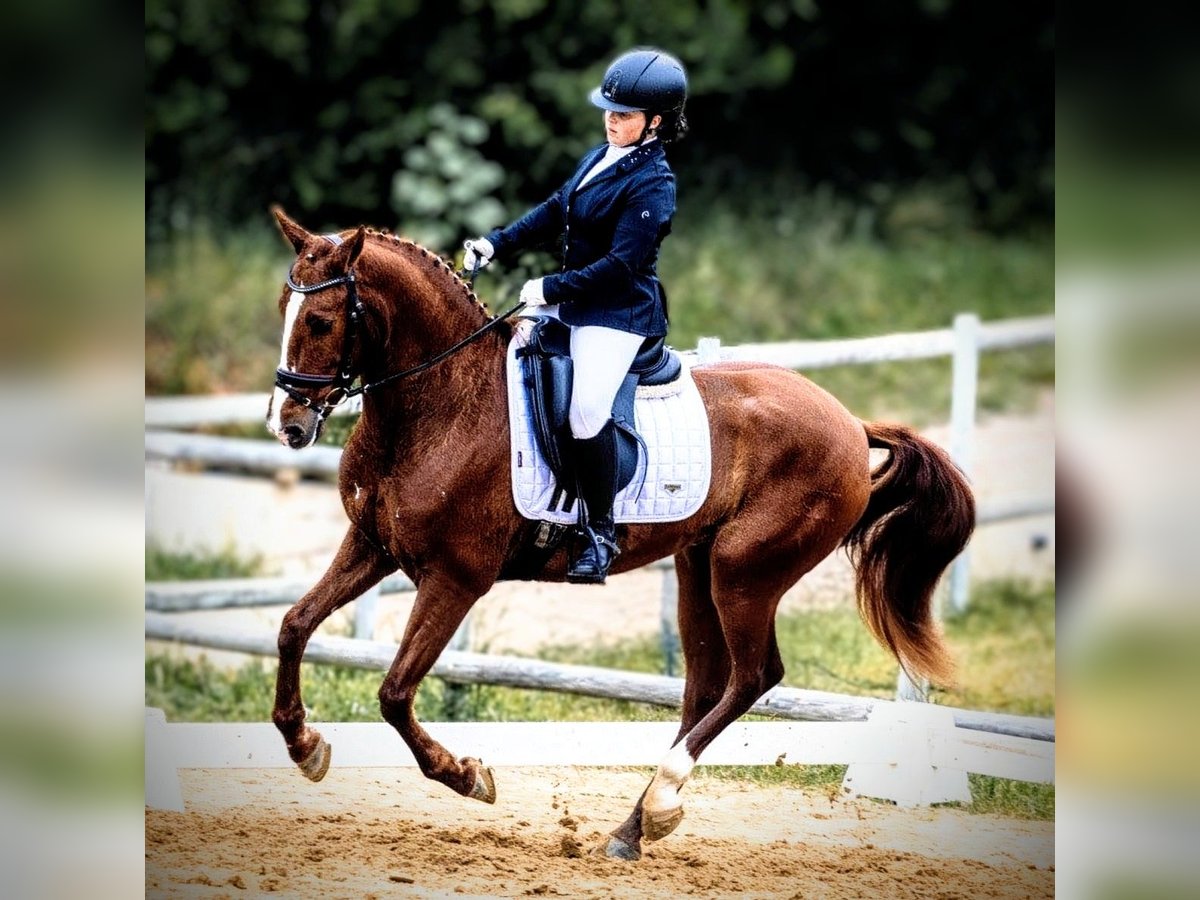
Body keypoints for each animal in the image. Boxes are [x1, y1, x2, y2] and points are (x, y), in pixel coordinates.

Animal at [264, 207, 975, 861]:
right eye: (282, 310)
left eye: (321, 321)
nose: (287, 425)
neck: (440, 405)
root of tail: (851, 423)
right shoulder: (371, 547)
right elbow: (295, 626)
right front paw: (303, 745)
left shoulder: (456, 579)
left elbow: (393, 692)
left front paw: (467, 776)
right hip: (698, 565)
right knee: (704, 687)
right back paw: (632, 830)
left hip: (745, 570)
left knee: (753, 676)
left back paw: (660, 802)